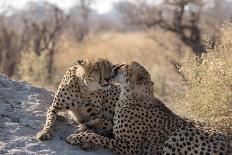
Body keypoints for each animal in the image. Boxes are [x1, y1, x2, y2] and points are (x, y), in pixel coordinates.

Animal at [65, 61, 230, 154]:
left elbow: (98, 137)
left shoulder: (129, 147)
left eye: (123, 66)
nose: (113, 66)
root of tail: (227, 143)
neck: (131, 96)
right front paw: (84, 128)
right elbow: (98, 127)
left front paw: (77, 137)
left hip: (176, 136)